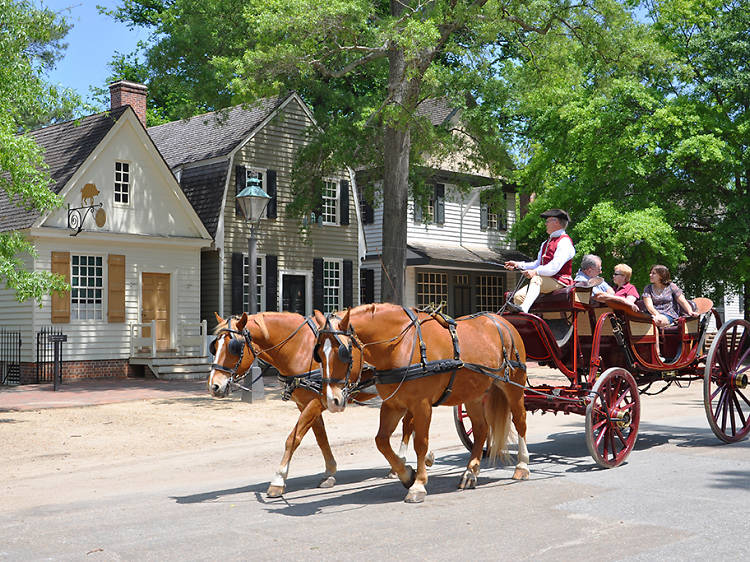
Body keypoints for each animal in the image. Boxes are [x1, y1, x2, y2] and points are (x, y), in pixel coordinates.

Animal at [209, 310, 432, 494]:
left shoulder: (316, 402)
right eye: (215, 346)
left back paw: (402, 462)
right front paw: (330, 472)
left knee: (408, 425)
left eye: (233, 347)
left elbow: (294, 438)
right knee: (409, 424)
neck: (299, 348)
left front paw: (278, 479)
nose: (214, 386)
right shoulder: (306, 403)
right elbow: (320, 437)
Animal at [314, 304, 532, 500]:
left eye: (343, 353)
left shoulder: (422, 405)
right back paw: (470, 473)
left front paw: (418, 484)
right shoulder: (393, 405)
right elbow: (381, 441)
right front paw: (406, 474)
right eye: (319, 354)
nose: (332, 400)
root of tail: (502, 322)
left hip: (514, 386)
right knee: (481, 430)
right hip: (474, 395)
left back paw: (522, 465)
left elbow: (420, 443)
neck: (400, 345)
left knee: (520, 421)